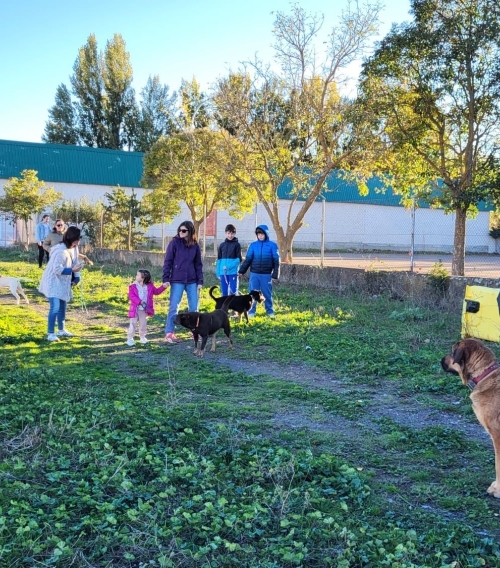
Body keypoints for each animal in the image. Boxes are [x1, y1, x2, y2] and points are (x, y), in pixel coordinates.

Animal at [442, 338, 500, 496]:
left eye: (452, 352)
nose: (441, 360)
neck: (485, 374)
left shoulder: (497, 436)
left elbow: (498, 465)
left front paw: (497, 489)